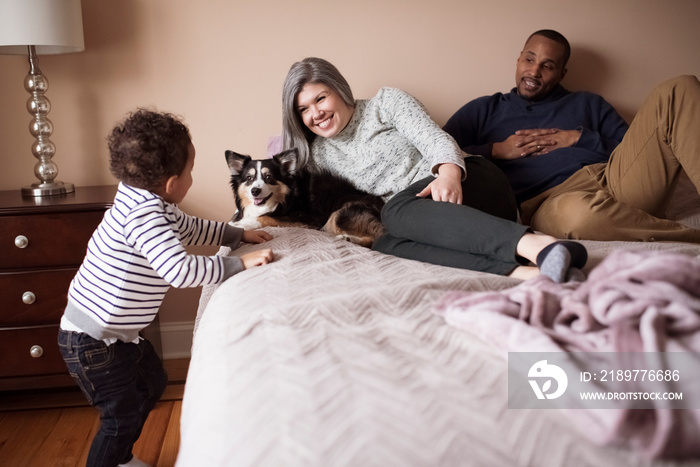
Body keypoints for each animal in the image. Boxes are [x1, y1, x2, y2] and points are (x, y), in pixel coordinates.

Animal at [226, 150, 386, 247]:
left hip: (339, 213)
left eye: (268, 177)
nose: (255, 191)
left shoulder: (308, 219)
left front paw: (242, 224)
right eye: (249, 178)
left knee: (378, 237)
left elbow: (266, 217)